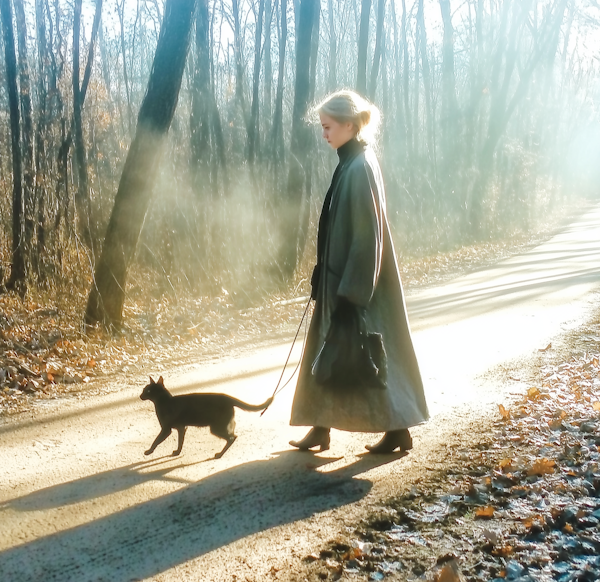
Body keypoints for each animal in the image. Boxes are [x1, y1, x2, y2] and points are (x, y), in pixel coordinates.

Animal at [139, 378, 274, 460]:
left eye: (147, 390)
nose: (140, 396)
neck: (164, 402)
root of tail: (228, 398)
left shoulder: (166, 429)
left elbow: (156, 441)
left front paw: (149, 451)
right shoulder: (182, 428)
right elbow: (180, 442)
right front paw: (177, 452)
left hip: (216, 428)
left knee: (232, 437)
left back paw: (219, 454)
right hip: (222, 425)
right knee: (233, 432)